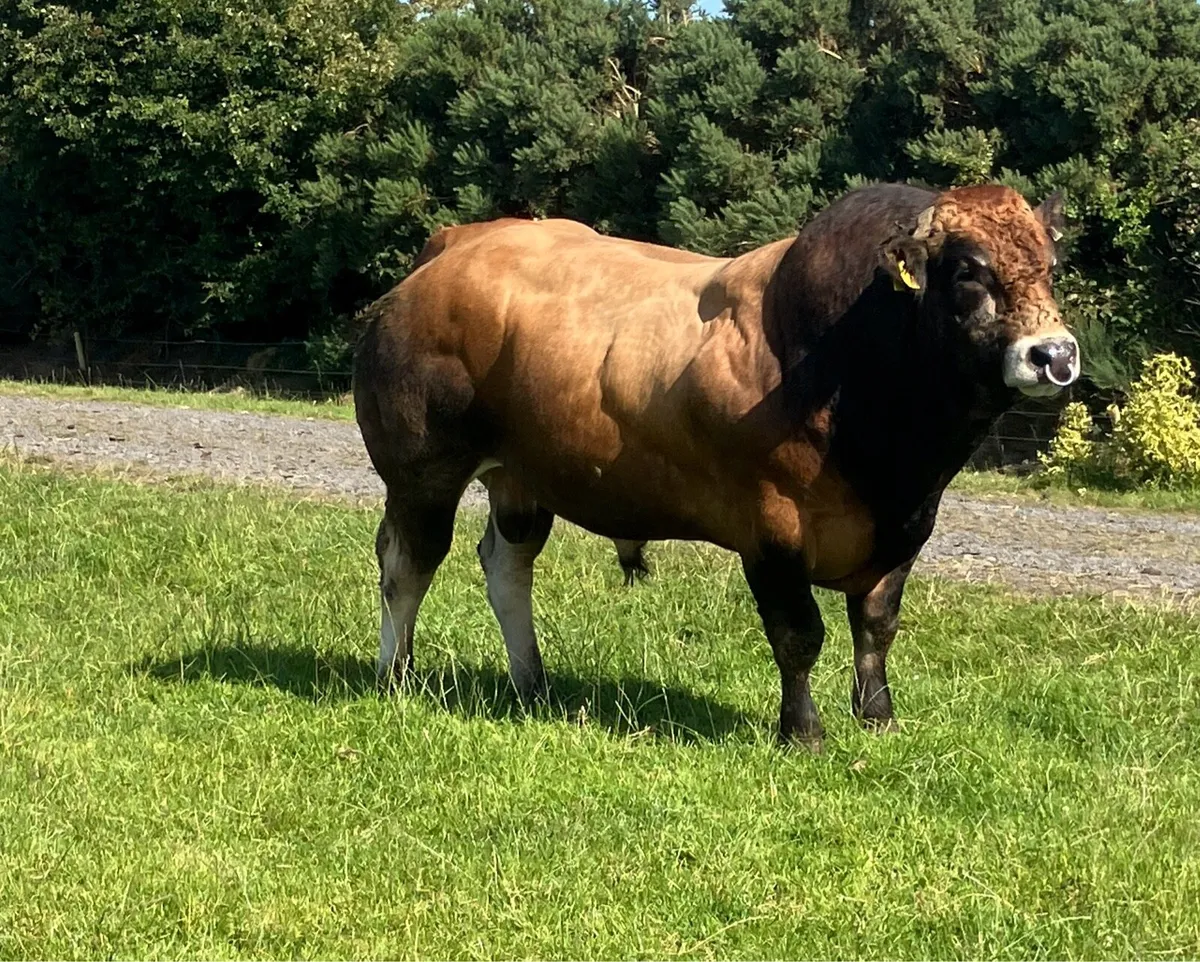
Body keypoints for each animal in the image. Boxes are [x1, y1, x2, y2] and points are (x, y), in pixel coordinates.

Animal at [353, 182, 1078, 749]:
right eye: (968, 272)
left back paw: (532, 681)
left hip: (522, 477)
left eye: (1049, 265)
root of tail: (453, 246)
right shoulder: (771, 526)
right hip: (422, 472)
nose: (1055, 354)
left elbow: (876, 627)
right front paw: (804, 733)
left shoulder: (906, 529)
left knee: (507, 565)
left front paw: (878, 719)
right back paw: (397, 676)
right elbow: (799, 634)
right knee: (407, 566)